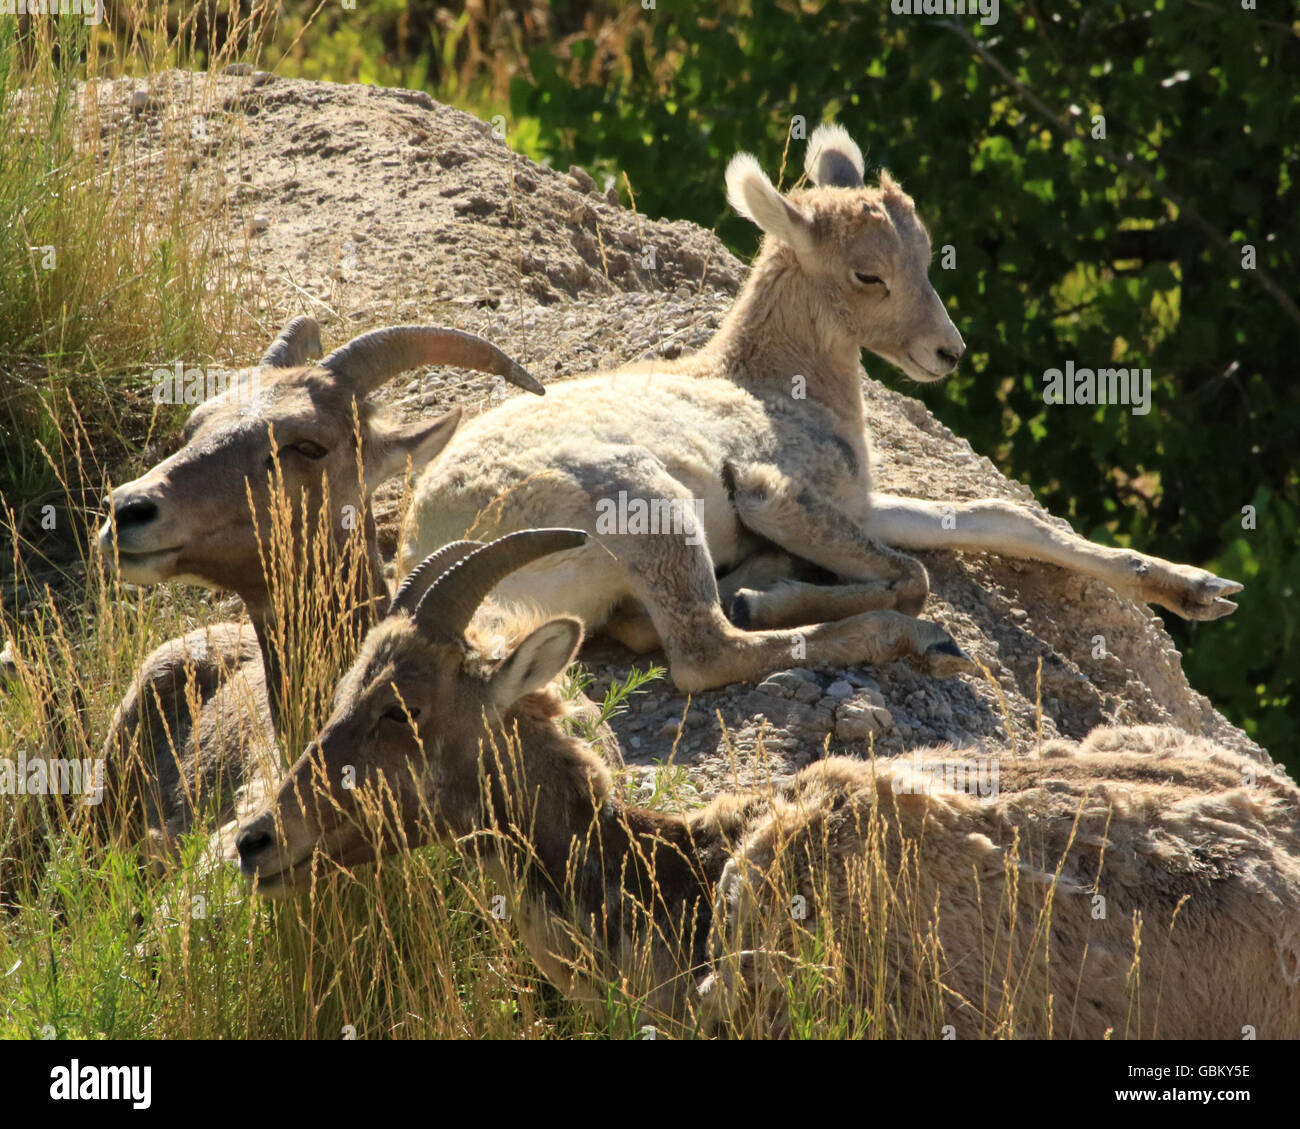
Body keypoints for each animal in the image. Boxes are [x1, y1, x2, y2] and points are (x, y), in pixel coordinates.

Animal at [400, 120, 1242, 686]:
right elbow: (914, 576)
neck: (772, 384)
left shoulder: (858, 503)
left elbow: (1005, 520)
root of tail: (428, 542)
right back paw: (887, 634)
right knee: (705, 651)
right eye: (869, 274)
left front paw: (1203, 591)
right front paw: (773, 592)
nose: (948, 351)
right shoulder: (778, 494)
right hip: (650, 503)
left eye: (925, 252)